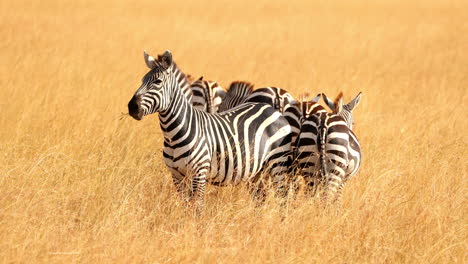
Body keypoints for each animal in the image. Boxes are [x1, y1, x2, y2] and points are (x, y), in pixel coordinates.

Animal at [124, 50, 292, 212]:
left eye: (157, 82)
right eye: (142, 81)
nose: (132, 107)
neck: (173, 134)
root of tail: (272, 107)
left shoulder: (199, 173)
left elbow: (197, 208)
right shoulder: (177, 175)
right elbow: (186, 207)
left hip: (278, 162)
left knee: (282, 198)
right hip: (257, 171)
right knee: (260, 197)